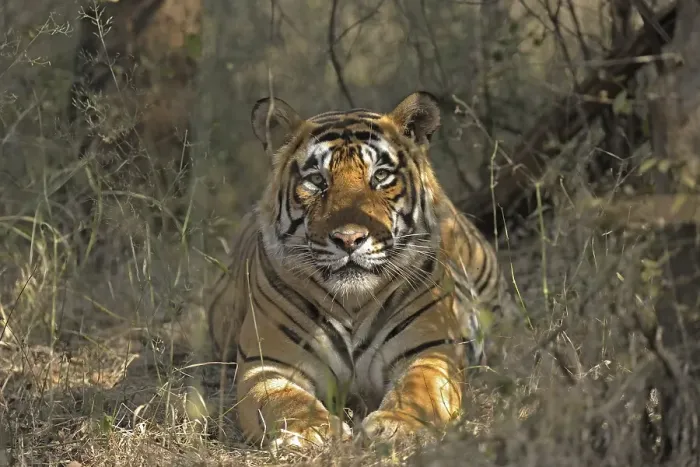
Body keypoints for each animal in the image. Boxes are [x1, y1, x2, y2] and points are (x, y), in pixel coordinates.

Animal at [206, 91, 519, 451]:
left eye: (380, 177)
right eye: (317, 180)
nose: (349, 238)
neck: (352, 302)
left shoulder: (430, 350)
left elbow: (419, 390)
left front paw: (398, 425)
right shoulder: (269, 364)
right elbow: (284, 402)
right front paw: (309, 430)